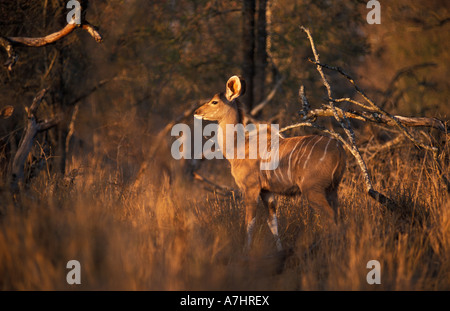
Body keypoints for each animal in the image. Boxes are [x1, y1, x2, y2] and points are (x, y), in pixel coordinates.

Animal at [192, 76, 344, 254]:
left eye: (214, 101)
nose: (196, 112)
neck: (238, 146)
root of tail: (339, 149)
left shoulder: (251, 188)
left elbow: (249, 223)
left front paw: (246, 251)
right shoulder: (267, 192)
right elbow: (273, 223)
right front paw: (279, 250)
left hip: (313, 190)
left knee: (331, 218)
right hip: (332, 189)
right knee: (338, 216)